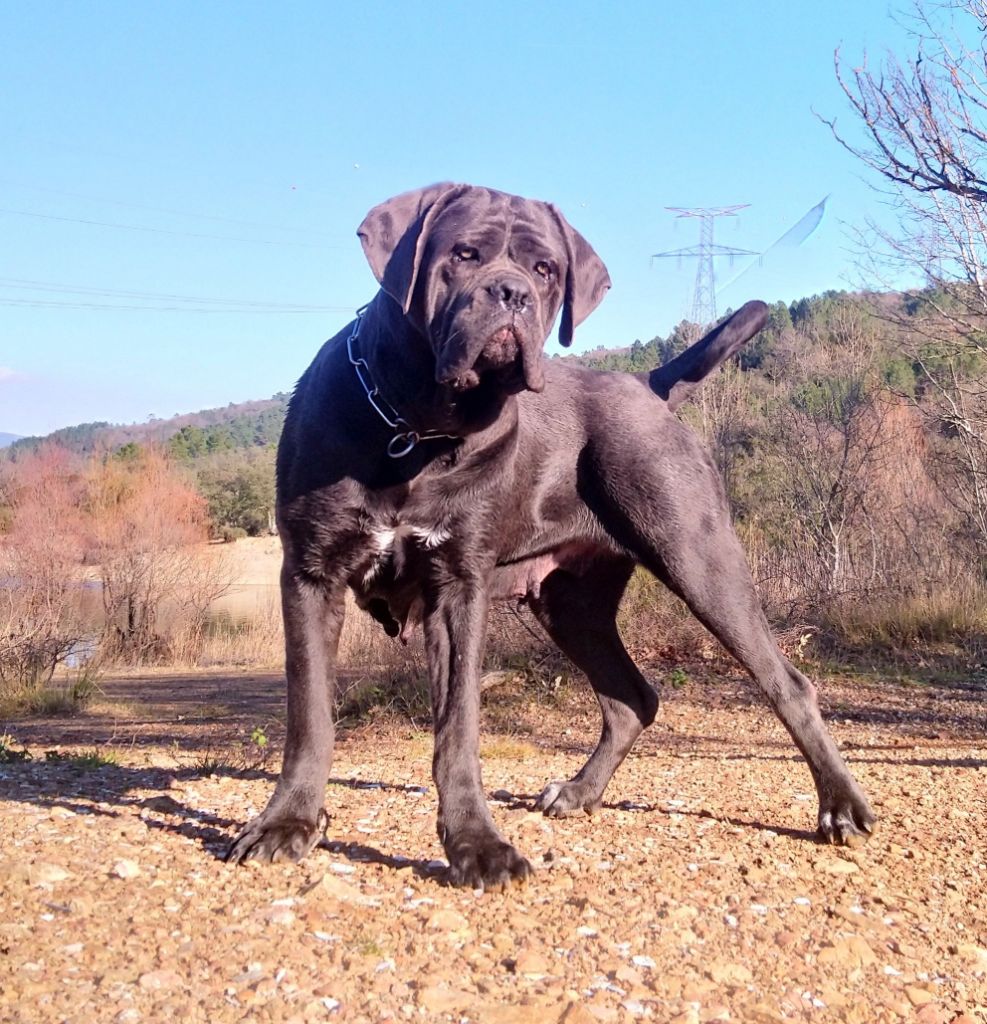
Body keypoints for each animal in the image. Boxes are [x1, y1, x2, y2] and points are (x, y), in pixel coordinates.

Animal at [227, 184, 876, 888]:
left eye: (545, 271)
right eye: (464, 254)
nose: (511, 292)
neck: (415, 427)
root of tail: (648, 386)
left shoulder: (458, 586)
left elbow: (458, 728)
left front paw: (476, 845)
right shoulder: (311, 575)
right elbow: (310, 714)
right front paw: (287, 823)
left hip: (699, 559)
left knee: (787, 683)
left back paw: (840, 807)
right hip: (569, 602)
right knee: (632, 698)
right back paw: (580, 791)